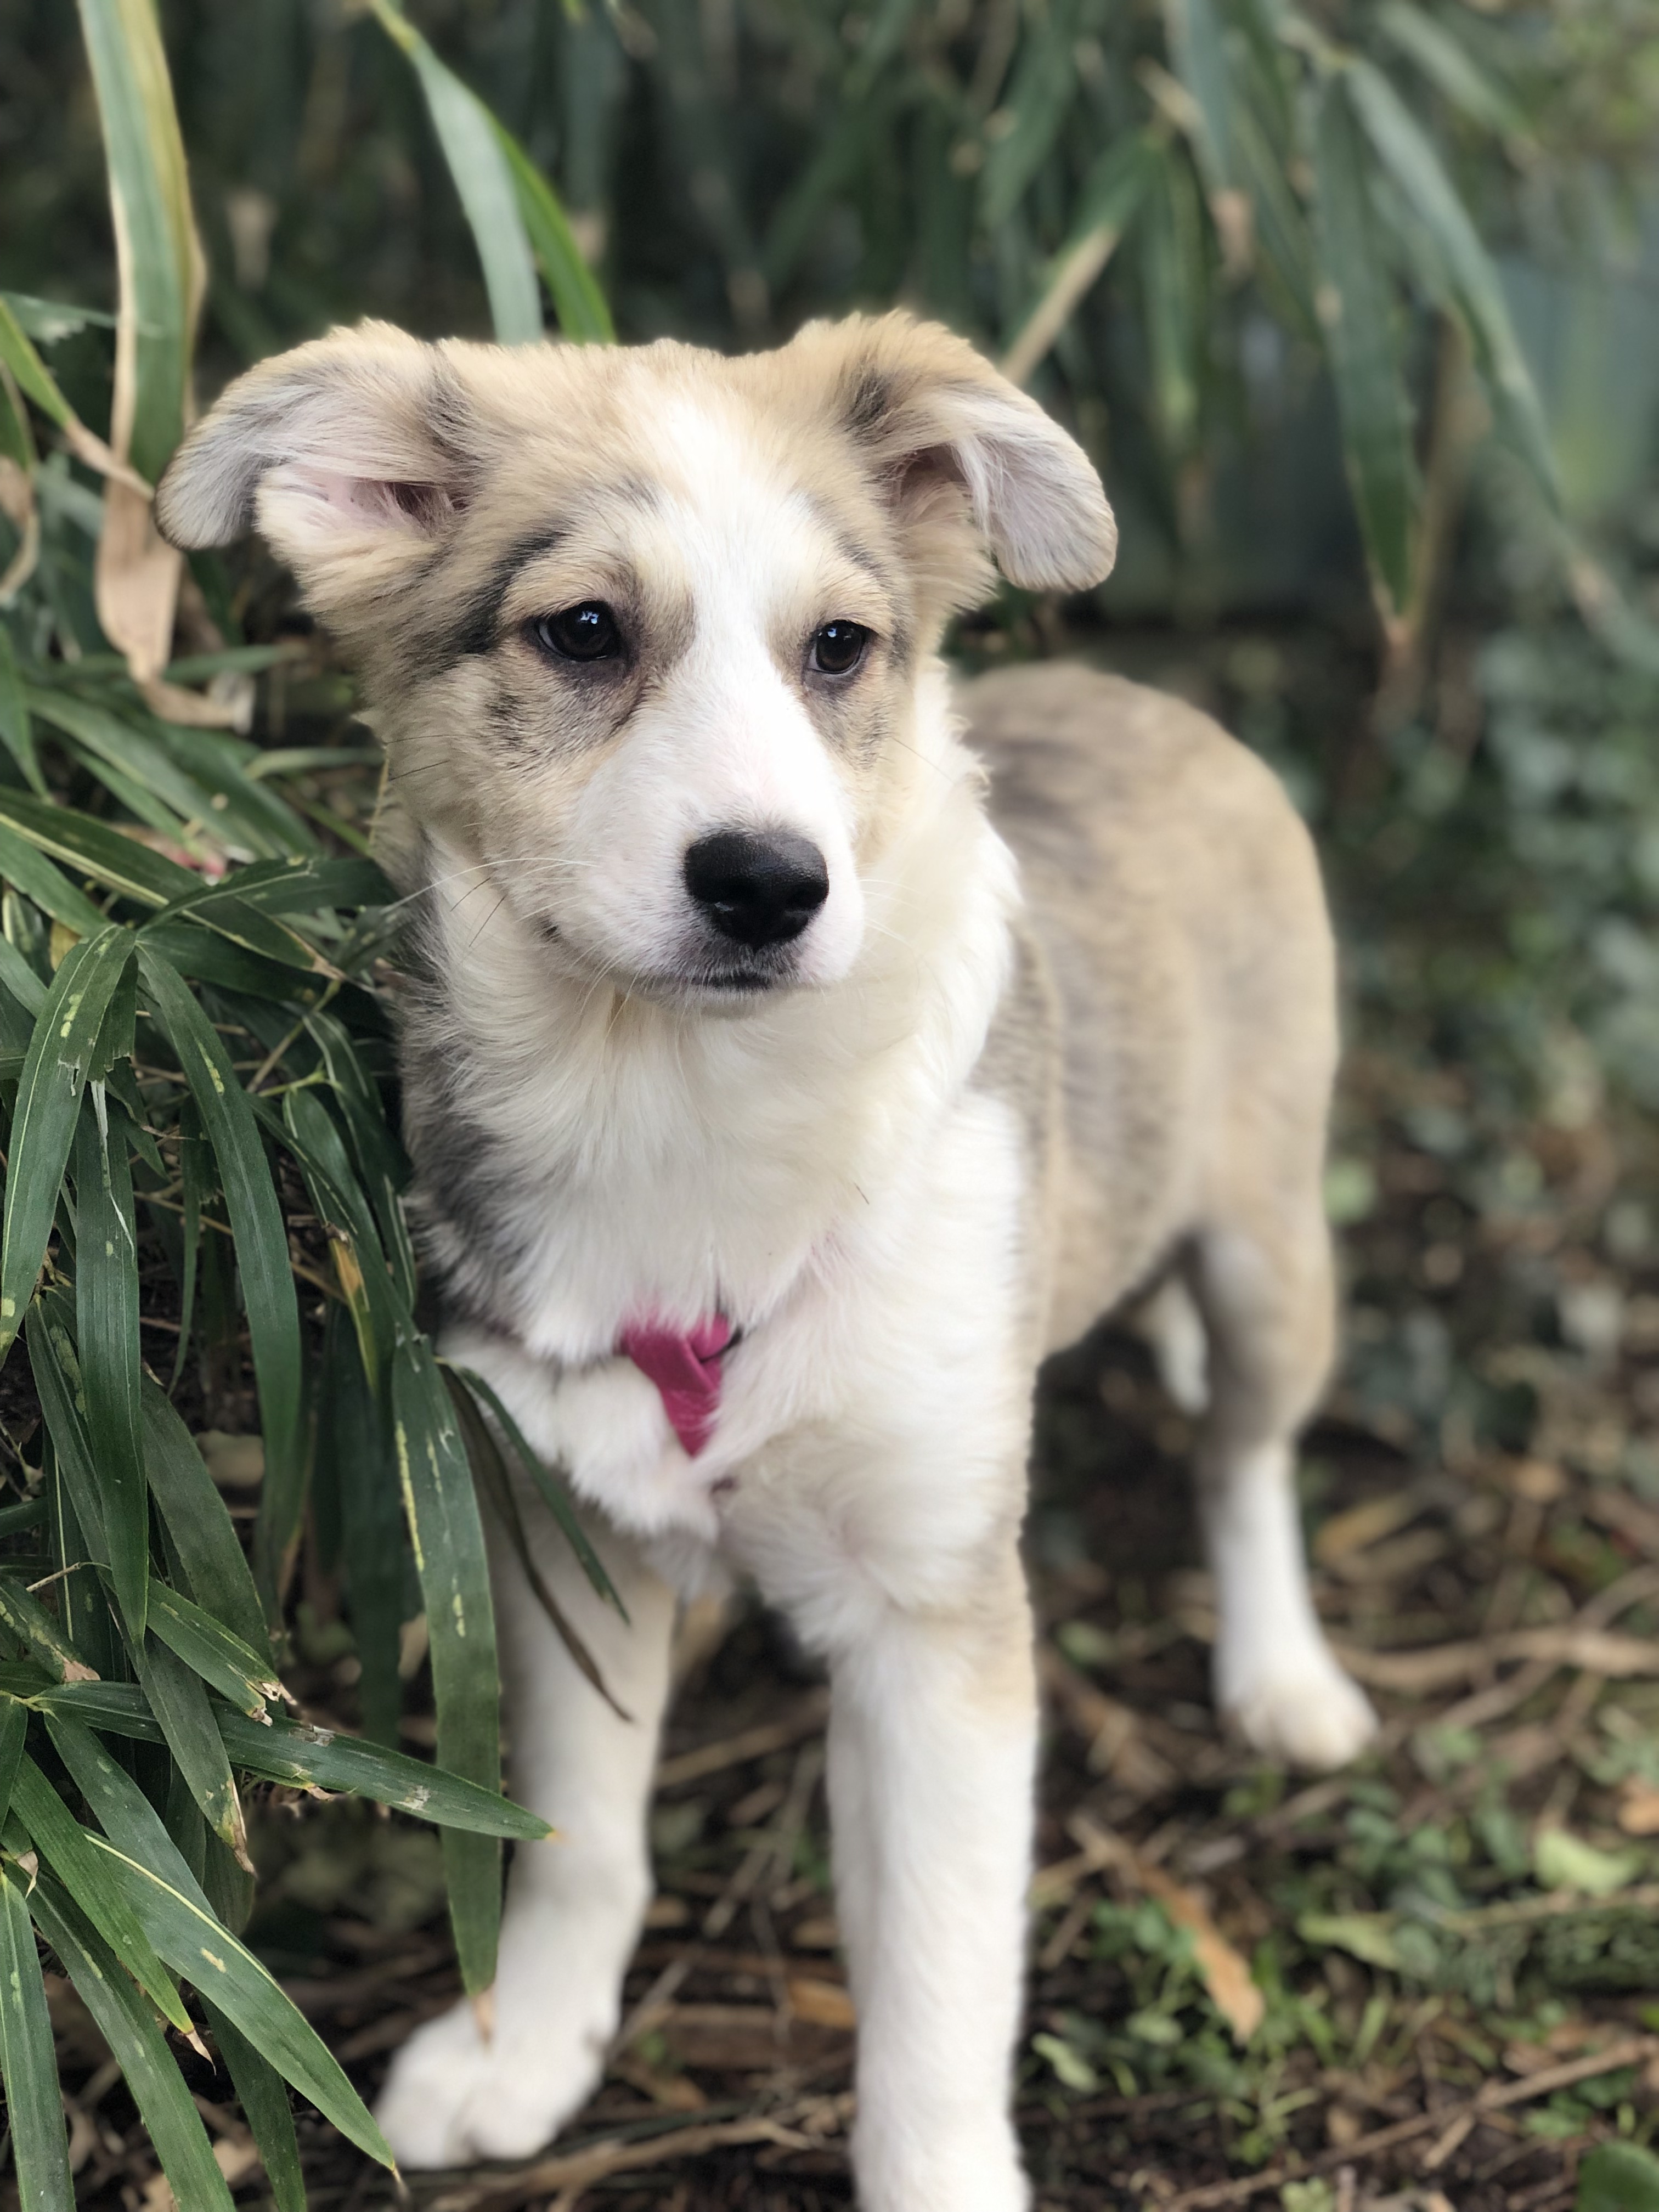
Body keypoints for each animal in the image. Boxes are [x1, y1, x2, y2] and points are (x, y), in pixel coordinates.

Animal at [158, 311, 1377, 2212]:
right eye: (586, 631)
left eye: (840, 649)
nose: (767, 888)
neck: (684, 1109)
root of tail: (1157, 698)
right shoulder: (567, 1533)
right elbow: (580, 1836)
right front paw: (524, 2048)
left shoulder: (937, 1620)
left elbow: (939, 1981)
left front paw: (937, 2175)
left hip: (1266, 1254)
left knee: (1243, 1456)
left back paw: (1282, 1680)